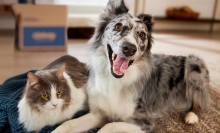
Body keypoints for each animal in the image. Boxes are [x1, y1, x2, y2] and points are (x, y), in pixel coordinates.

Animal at [52, 0, 211, 132]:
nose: (129, 49)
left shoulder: (145, 122)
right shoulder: (99, 113)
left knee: (202, 103)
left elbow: (110, 126)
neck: (115, 80)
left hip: (194, 65)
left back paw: (191, 116)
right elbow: (68, 124)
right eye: (118, 27)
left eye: (142, 35)